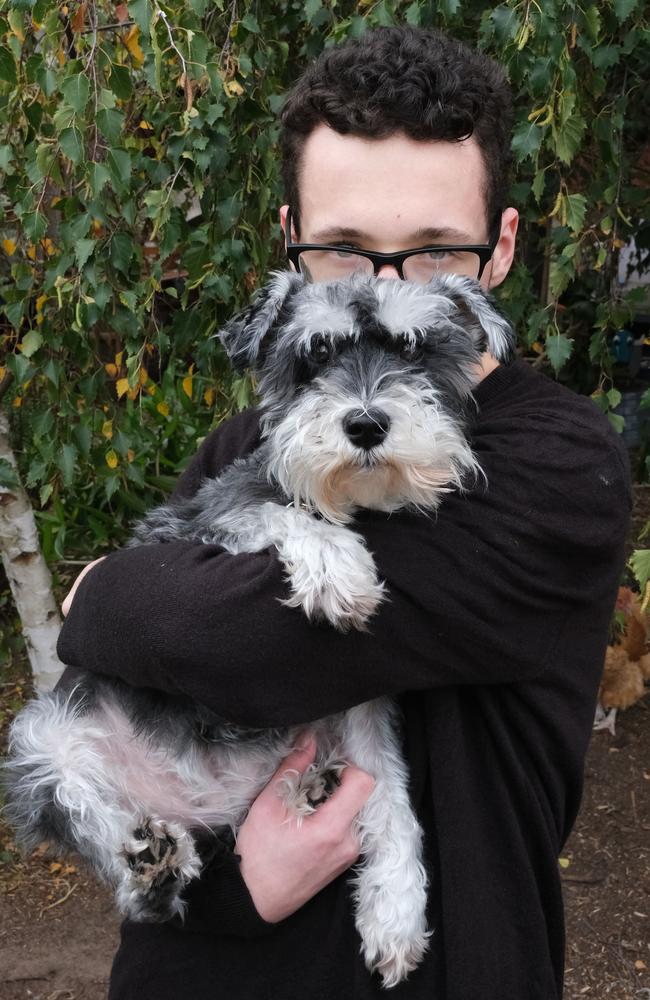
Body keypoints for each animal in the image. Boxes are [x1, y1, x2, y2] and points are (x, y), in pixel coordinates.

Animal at [3, 270, 512, 988]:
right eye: (316, 354)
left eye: (414, 348)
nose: (365, 423)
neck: (353, 503)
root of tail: (195, 801)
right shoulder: (203, 522)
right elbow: (280, 514)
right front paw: (336, 568)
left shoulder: (363, 704)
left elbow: (394, 799)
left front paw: (396, 915)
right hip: (41, 741)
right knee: (96, 827)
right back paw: (151, 864)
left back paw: (306, 792)